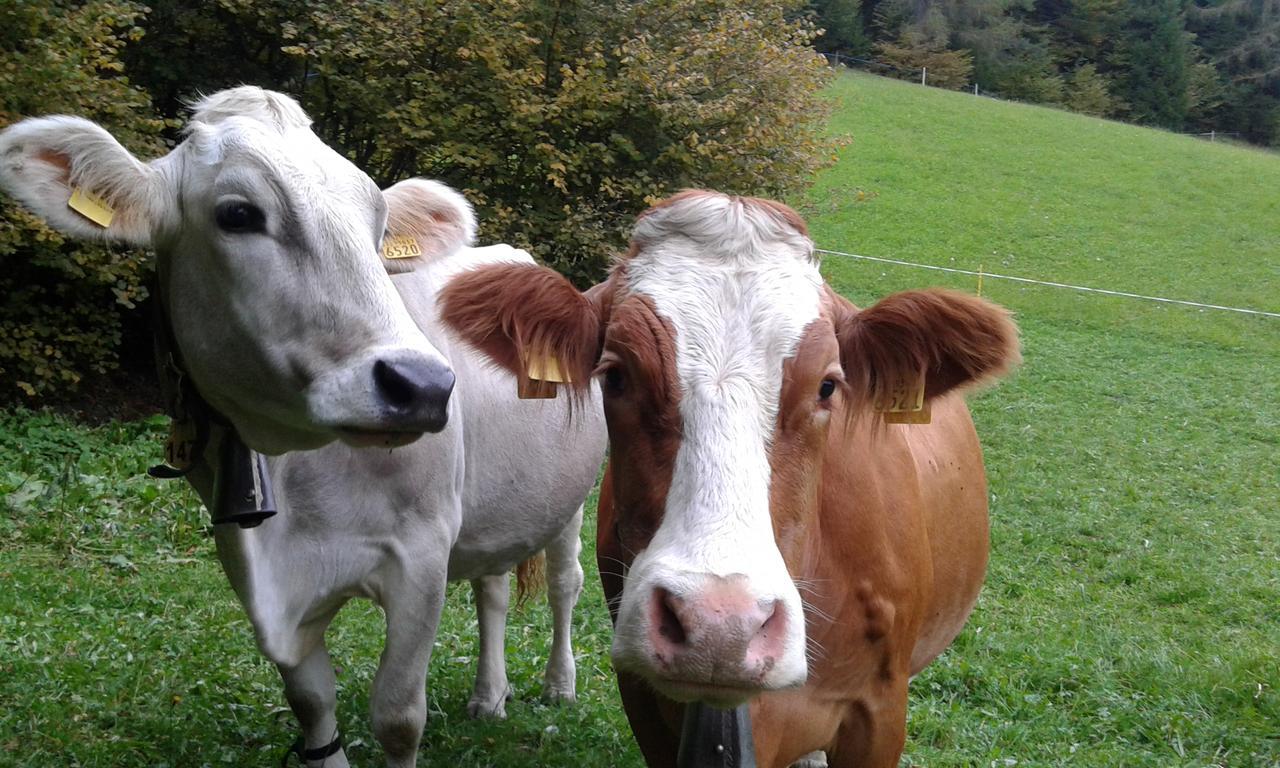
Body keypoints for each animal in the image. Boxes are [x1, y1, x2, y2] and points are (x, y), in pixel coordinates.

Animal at [1, 91, 609, 768]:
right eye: (237, 214)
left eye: (378, 227)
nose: (422, 386)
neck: (297, 479)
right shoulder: (246, 558)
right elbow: (313, 704)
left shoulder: (422, 549)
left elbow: (399, 716)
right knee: (493, 587)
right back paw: (488, 695)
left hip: (570, 495)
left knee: (563, 583)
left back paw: (559, 685)